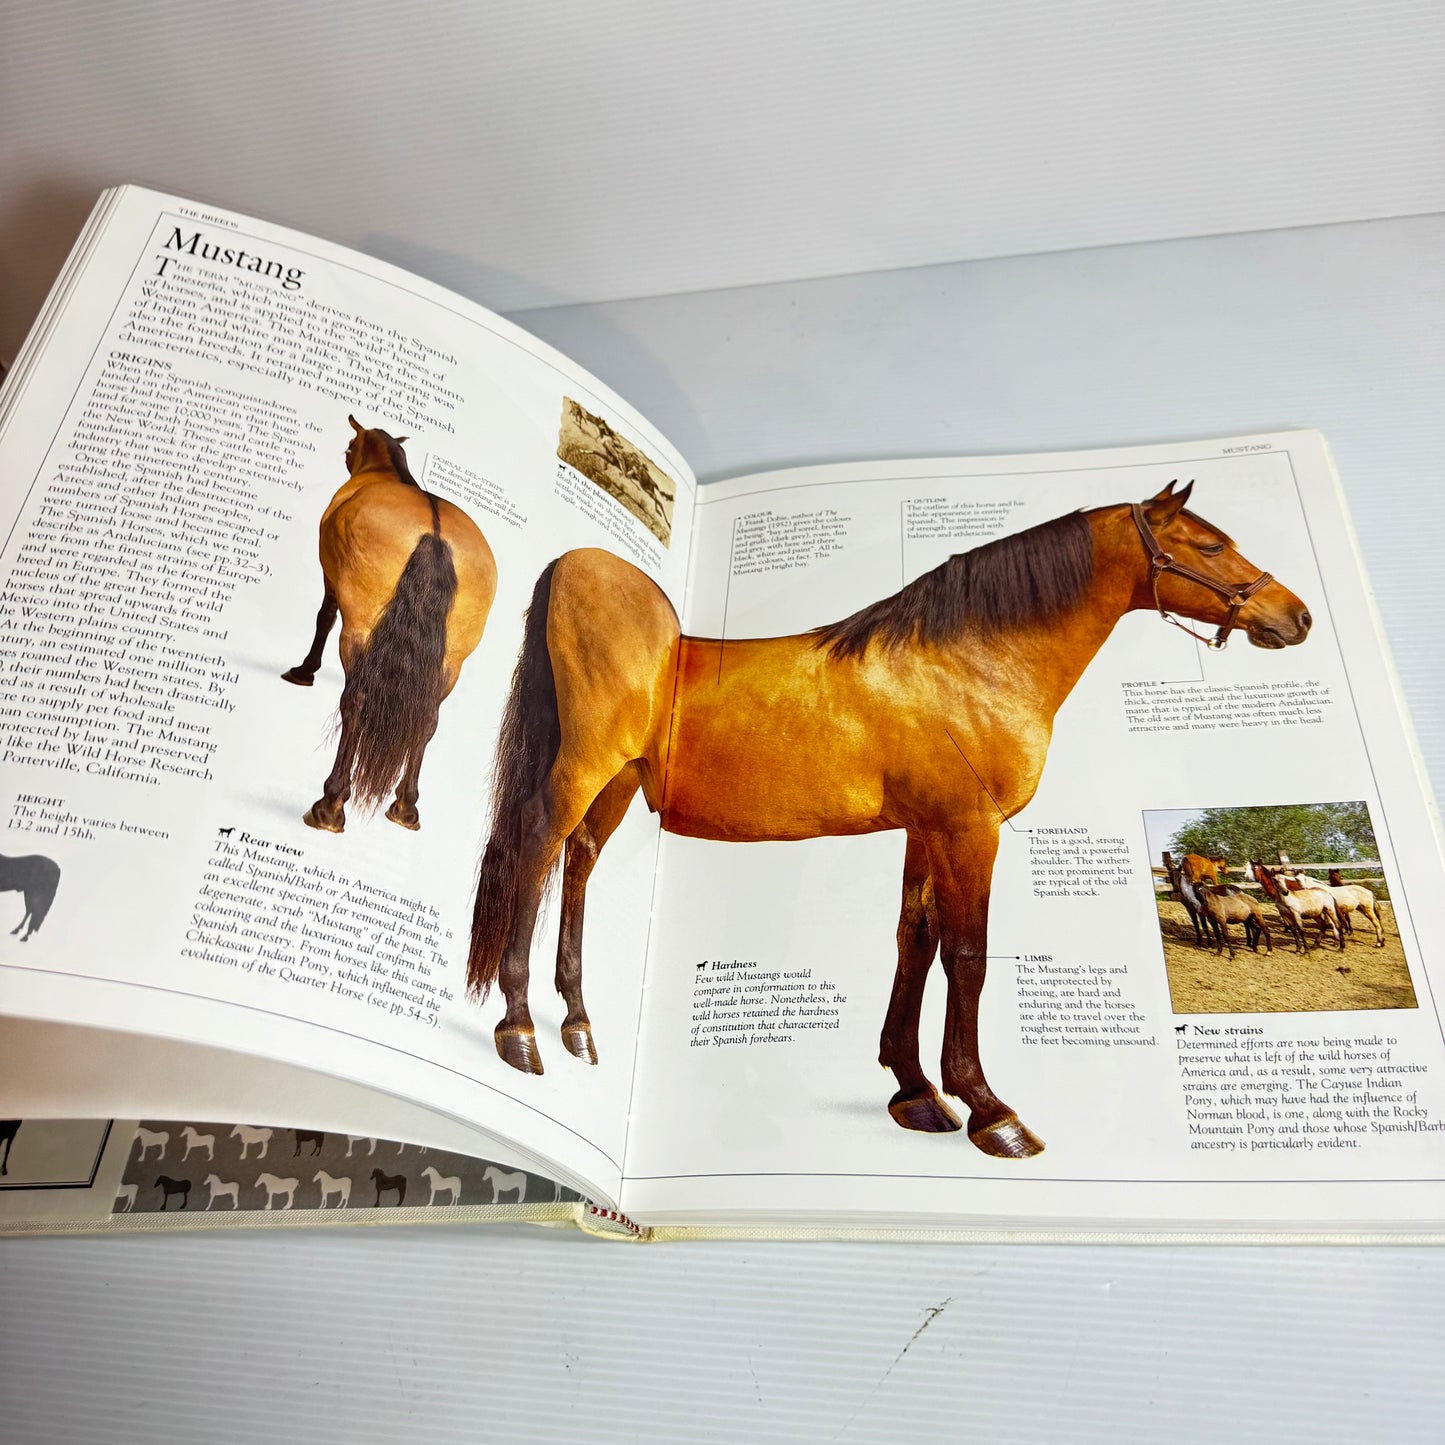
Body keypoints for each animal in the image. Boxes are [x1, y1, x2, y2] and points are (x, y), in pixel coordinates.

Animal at [282, 416, 497, 833]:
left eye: (350, 447)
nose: (347, 457)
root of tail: (434, 532)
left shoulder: (331, 579)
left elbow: (323, 617)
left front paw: (304, 671)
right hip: (451, 662)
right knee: (428, 719)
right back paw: (405, 807)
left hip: (360, 631)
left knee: (357, 702)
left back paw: (330, 804)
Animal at [468, 478, 1311, 1158]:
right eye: (1208, 543)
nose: (1295, 615)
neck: (968, 661)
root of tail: (576, 566)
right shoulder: (969, 829)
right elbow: (967, 955)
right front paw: (987, 1108)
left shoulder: (925, 830)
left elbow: (915, 940)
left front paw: (913, 1089)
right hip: (581, 773)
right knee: (533, 853)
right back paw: (520, 1028)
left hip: (613, 786)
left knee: (575, 862)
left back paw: (578, 1023)